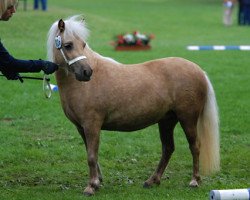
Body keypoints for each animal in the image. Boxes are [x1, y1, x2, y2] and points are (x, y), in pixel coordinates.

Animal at [47, 16, 220, 197]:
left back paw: (194, 181)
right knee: (168, 148)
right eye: (68, 45)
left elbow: (92, 157)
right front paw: (97, 182)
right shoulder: (81, 127)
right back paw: (152, 181)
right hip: (167, 121)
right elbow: (92, 154)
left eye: (83, 44)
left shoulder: (92, 125)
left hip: (188, 118)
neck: (81, 86)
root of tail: (199, 70)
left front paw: (91, 186)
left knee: (195, 146)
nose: (87, 72)